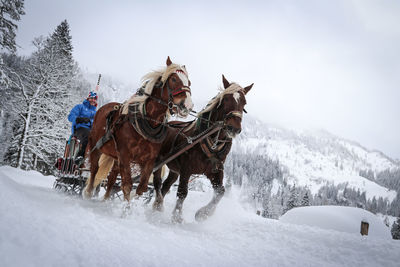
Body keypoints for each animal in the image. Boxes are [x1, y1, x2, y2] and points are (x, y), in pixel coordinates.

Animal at [83, 57, 193, 203]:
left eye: (189, 82)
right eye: (174, 79)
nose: (187, 105)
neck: (148, 121)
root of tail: (103, 107)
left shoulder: (148, 159)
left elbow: (142, 187)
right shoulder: (125, 155)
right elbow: (127, 185)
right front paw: (127, 207)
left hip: (116, 157)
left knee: (112, 176)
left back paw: (105, 200)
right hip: (96, 146)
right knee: (94, 170)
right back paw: (88, 193)